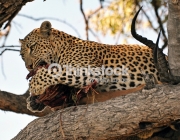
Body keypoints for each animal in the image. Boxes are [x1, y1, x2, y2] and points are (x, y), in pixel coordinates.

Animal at [19, 7, 160, 96]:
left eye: (32, 47)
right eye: (22, 57)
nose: (28, 66)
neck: (62, 49)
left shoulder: (93, 70)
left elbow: (51, 71)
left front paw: (34, 86)